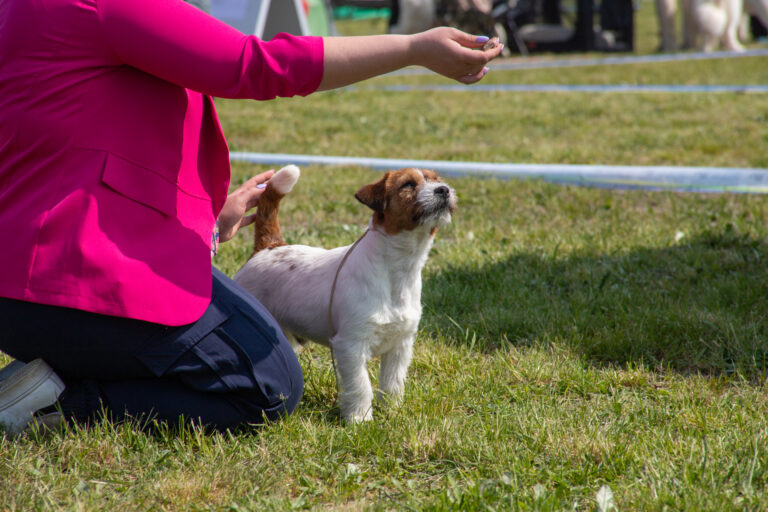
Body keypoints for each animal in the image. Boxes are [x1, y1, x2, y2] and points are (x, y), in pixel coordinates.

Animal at [234, 166, 456, 422]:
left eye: (437, 180)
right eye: (408, 185)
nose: (444, 190)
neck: (397, 270)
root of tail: (269, 247)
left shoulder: (400, 345)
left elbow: (392, 382)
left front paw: (392, 412)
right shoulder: (351, 346)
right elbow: (361, 385)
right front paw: (360, 420)